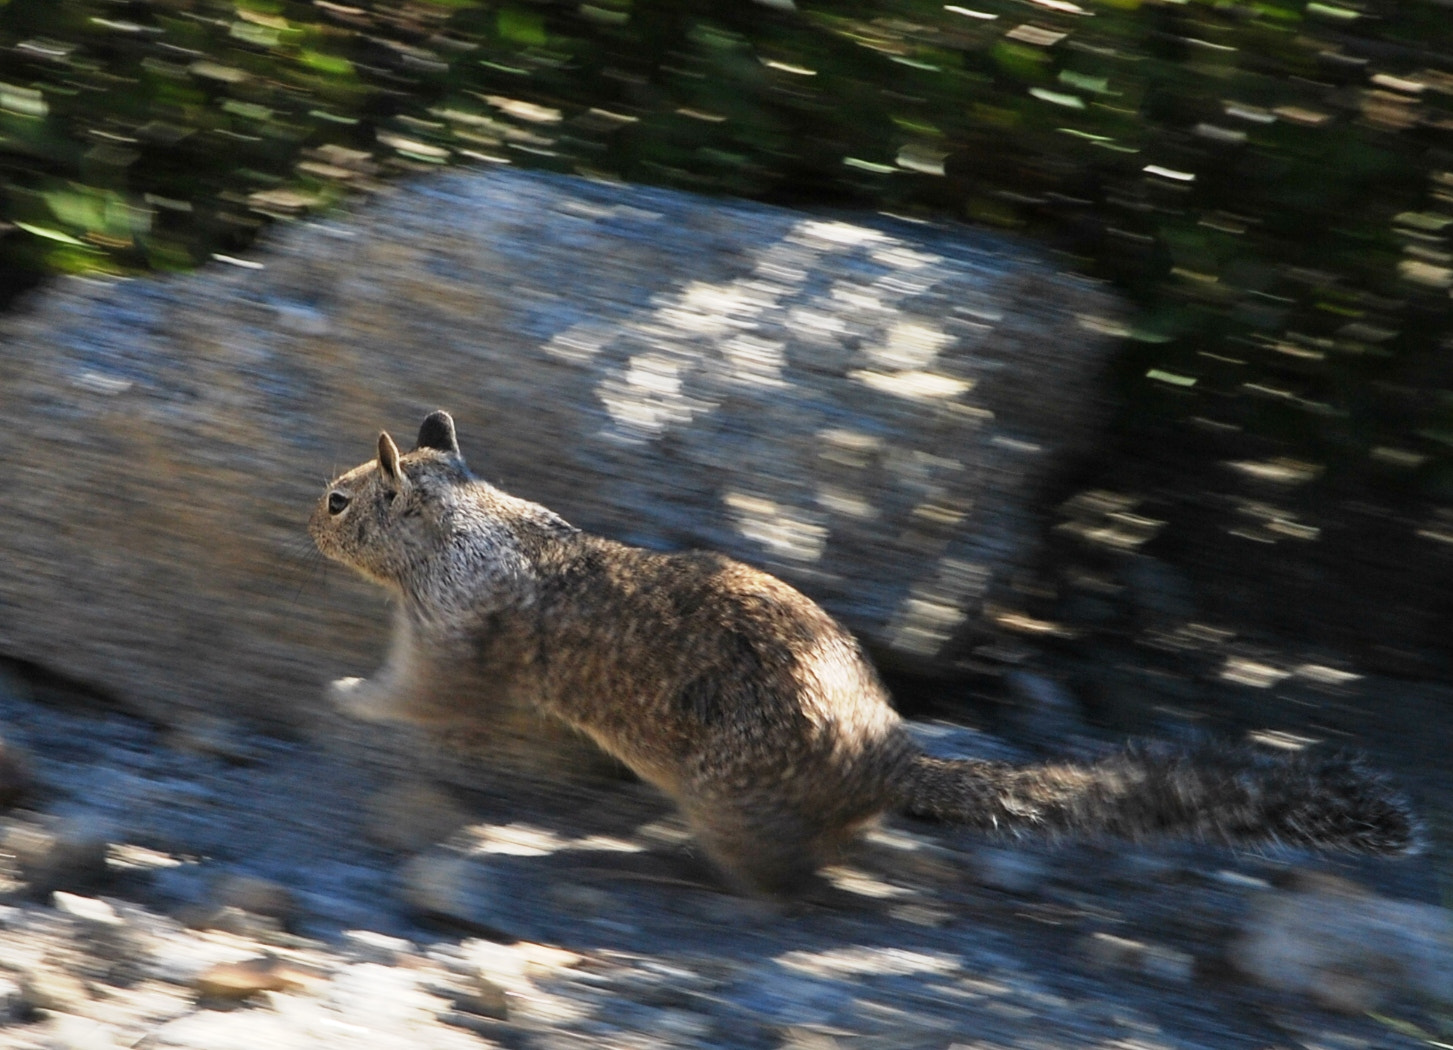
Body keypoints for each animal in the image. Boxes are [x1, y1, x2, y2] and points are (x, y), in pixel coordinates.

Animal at [311, 410, 1417, 897]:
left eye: (336, 498)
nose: (300, 522)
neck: (463, 523)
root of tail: (881, 751)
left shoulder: (454, 634)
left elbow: (424, 695)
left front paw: (347, 697)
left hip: (728, 787)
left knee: (785, 870)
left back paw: (678, 854)